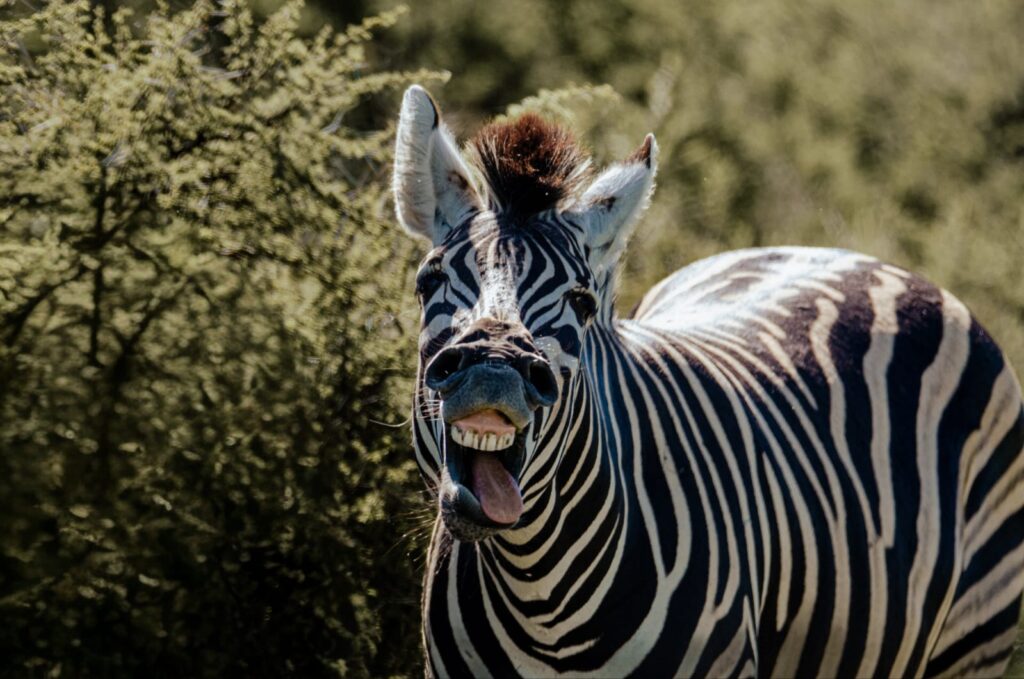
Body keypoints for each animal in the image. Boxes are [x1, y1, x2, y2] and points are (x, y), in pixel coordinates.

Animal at [391, 85, 1024, 677]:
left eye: (580, 301)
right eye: (429, 281)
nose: (492, 367)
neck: (541, 597)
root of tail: (855, 256)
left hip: (975, 630)